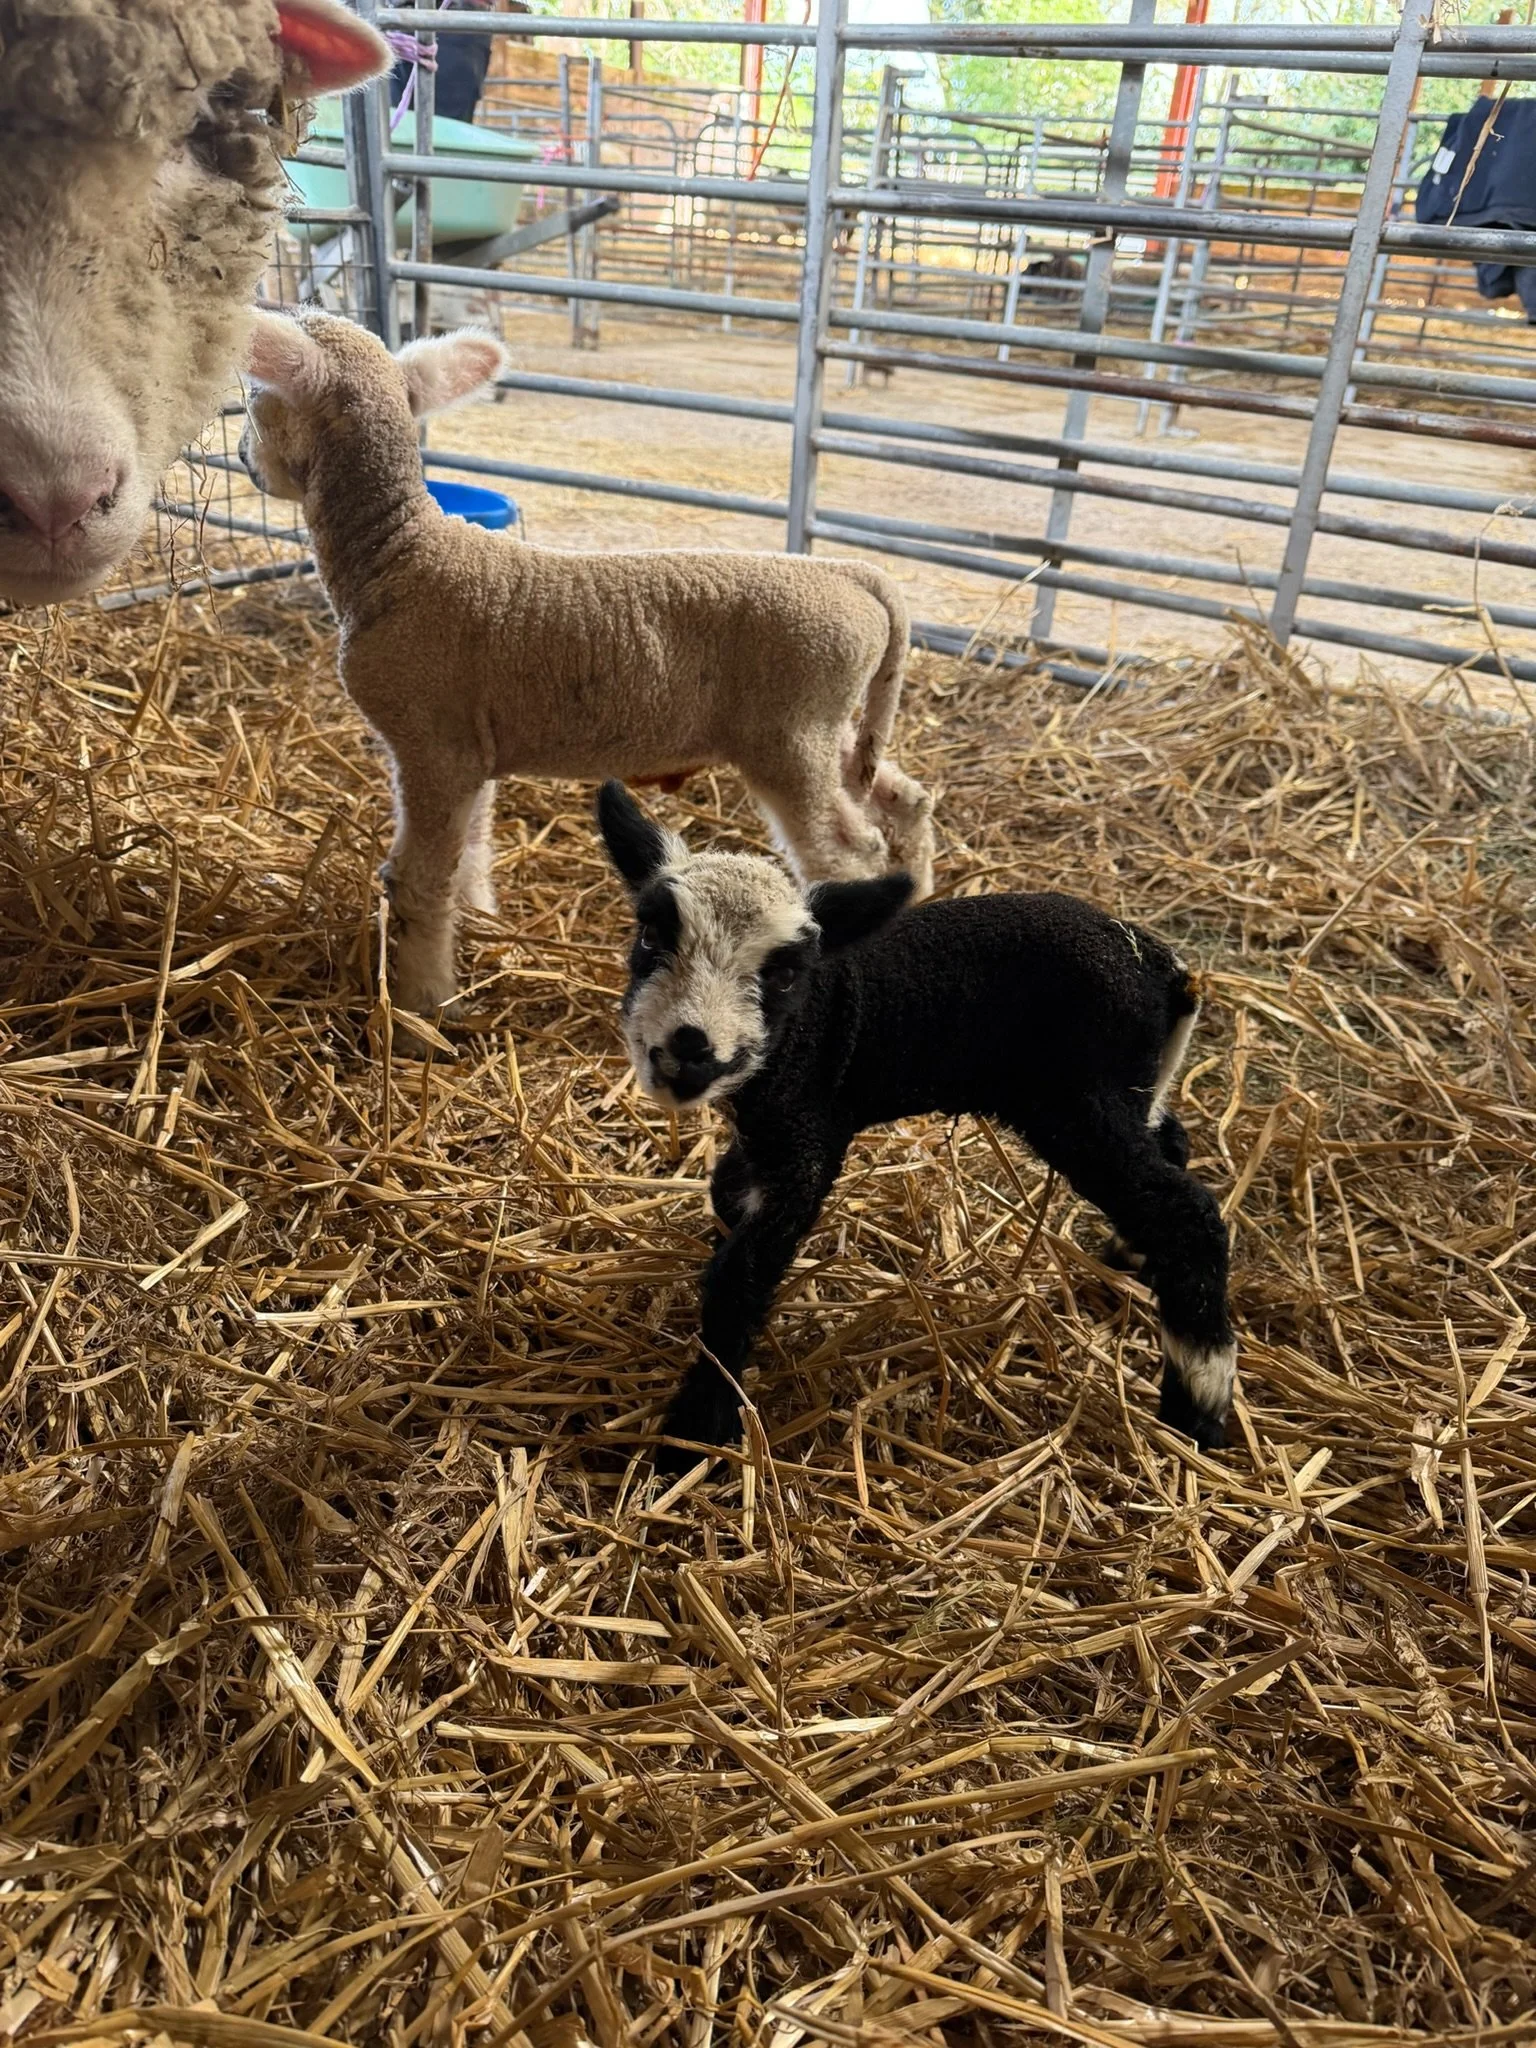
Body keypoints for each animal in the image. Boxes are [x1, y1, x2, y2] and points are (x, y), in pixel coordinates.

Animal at [237, 307, 935, 1018]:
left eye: (257, 397)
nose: (244, 459)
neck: (401, 552)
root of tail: (854, 574)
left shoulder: (432, 745)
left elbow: (418, 883)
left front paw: (421, 1007)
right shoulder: (471, 748)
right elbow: (473, 850)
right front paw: (480, 926)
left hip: (789, 735)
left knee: (847, 855)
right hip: (828, 726)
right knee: (905, 800)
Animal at [595, 779, 1236, 1473]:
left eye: (784, 974)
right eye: (650, 937)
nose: (688, 1050)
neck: (810, 1019)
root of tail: (1167, 970)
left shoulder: (808, 1132)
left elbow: (743, 1271)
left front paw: (694, 1429)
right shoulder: (767, 1128)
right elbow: (727, 1192)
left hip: (1079, 1105)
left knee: (1188, 1210)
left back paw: (1200, 1404)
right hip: (1130, 1087)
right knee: (1170, 1143)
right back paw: (1132, 1258)